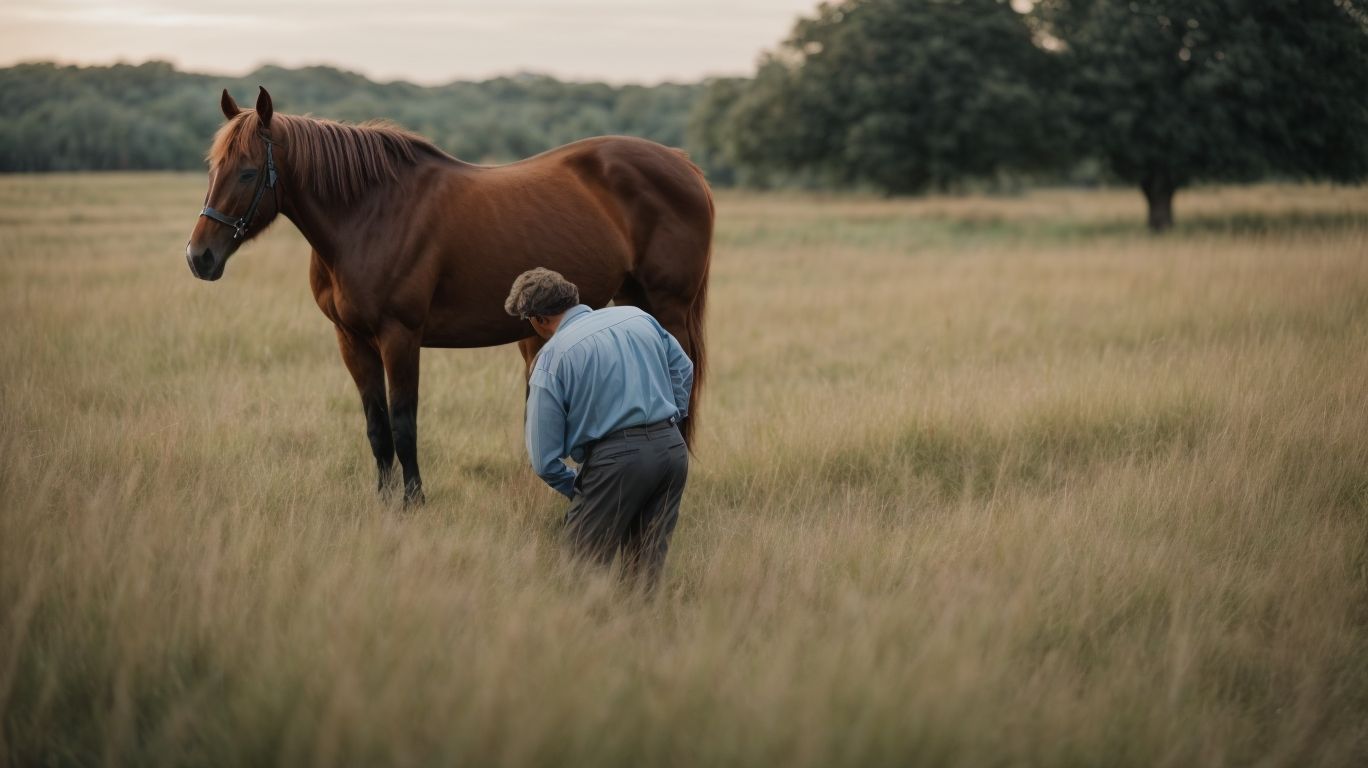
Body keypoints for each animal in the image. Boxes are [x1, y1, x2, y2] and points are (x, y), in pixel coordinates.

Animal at [186, 87, 712, 505]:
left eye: (248, 172)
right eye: (213, 166)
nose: (199, 257)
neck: (369, 213)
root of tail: (683, 163)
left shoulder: (400, 336)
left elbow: (404, 423)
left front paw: (414, 502)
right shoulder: (351, 340)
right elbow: (376, 426)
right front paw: (383, 502)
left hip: (668, 307)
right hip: (633, 299)